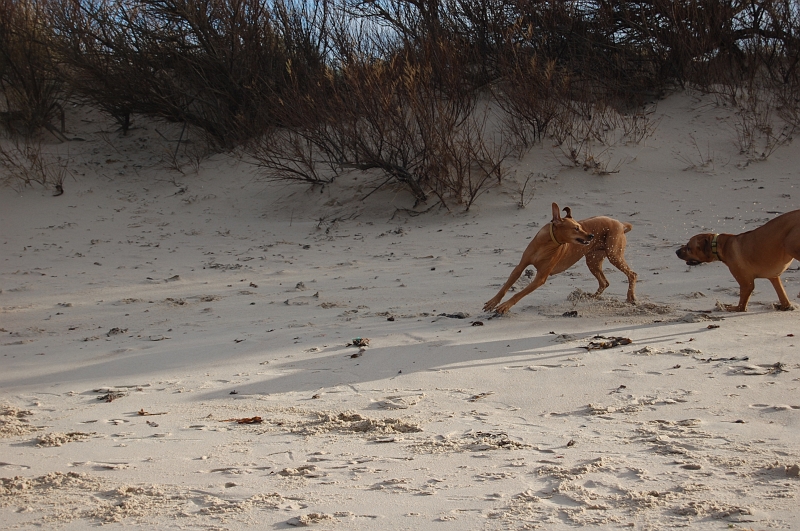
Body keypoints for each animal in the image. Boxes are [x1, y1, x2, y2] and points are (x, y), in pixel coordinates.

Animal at [482, 202, 636, 314]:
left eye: (580, 227)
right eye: (576, 228)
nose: (591, 235)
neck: (547, 244)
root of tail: (620, 223)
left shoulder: (540, 278)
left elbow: (518, 294)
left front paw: (505, 306)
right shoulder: (520, 267)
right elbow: (505, 286)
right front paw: (493, 302)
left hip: (613, 255)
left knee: (632, 274)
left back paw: (631, 297)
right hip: (593, 260)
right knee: (604, 282)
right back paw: (591, 297)